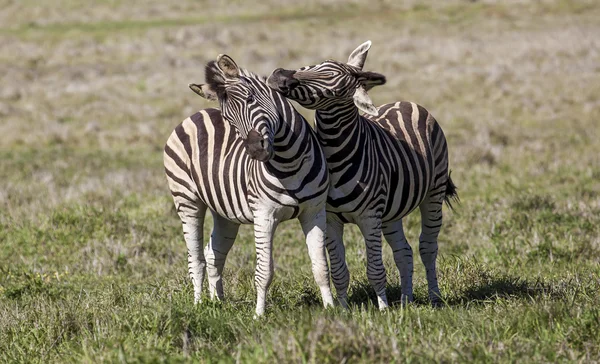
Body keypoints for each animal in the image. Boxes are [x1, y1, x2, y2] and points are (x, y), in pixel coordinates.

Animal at [164, 53, 336, 316]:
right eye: (228, 118)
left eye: (251, 98)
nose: (255, 150)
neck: (290, 161)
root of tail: (196, 114)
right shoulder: (264, 215)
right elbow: (264, 271)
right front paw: (259, 315)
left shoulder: (314, 211)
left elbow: (321, 266)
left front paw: (332, 309)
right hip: (186, 200)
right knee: (196, 259)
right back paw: (199, 305)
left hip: (224, 212)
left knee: (213, 255)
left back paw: (217, 303)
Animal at [268, 41, 460, 308]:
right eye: (314, 65)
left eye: (332, 85)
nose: (278, 76)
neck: (335, 157)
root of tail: (405, 102)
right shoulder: (331, 218)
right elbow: (339, 270)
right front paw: (344, 309)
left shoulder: (369, 216)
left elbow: (375, 270)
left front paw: (383, 309)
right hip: (390, 212)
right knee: (404, 251)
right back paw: (406, 301)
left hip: (434, 192)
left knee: (428, 247)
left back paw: (434, 299)